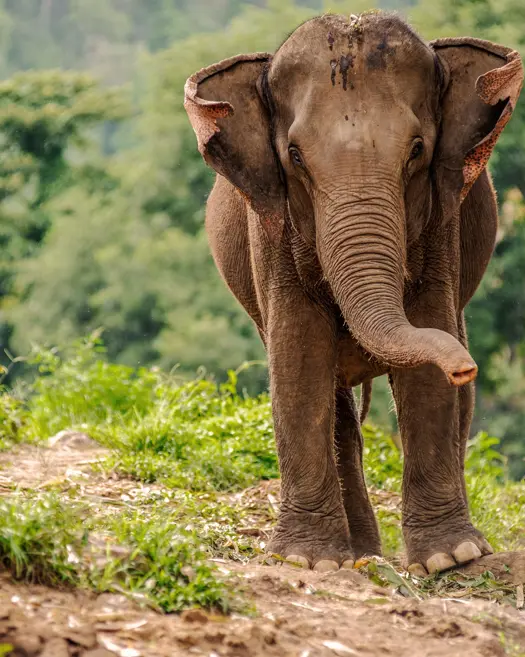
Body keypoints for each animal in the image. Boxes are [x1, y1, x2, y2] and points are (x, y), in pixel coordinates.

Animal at [184, 12, 523, 575]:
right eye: (295, 156)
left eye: (417, 150)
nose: (465, 366)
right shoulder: (271, 229)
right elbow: (298, 357)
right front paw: (306, 561)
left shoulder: (442, 223)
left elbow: (429, 338)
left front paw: (448, 559)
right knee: (339, 408)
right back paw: (358, 556)